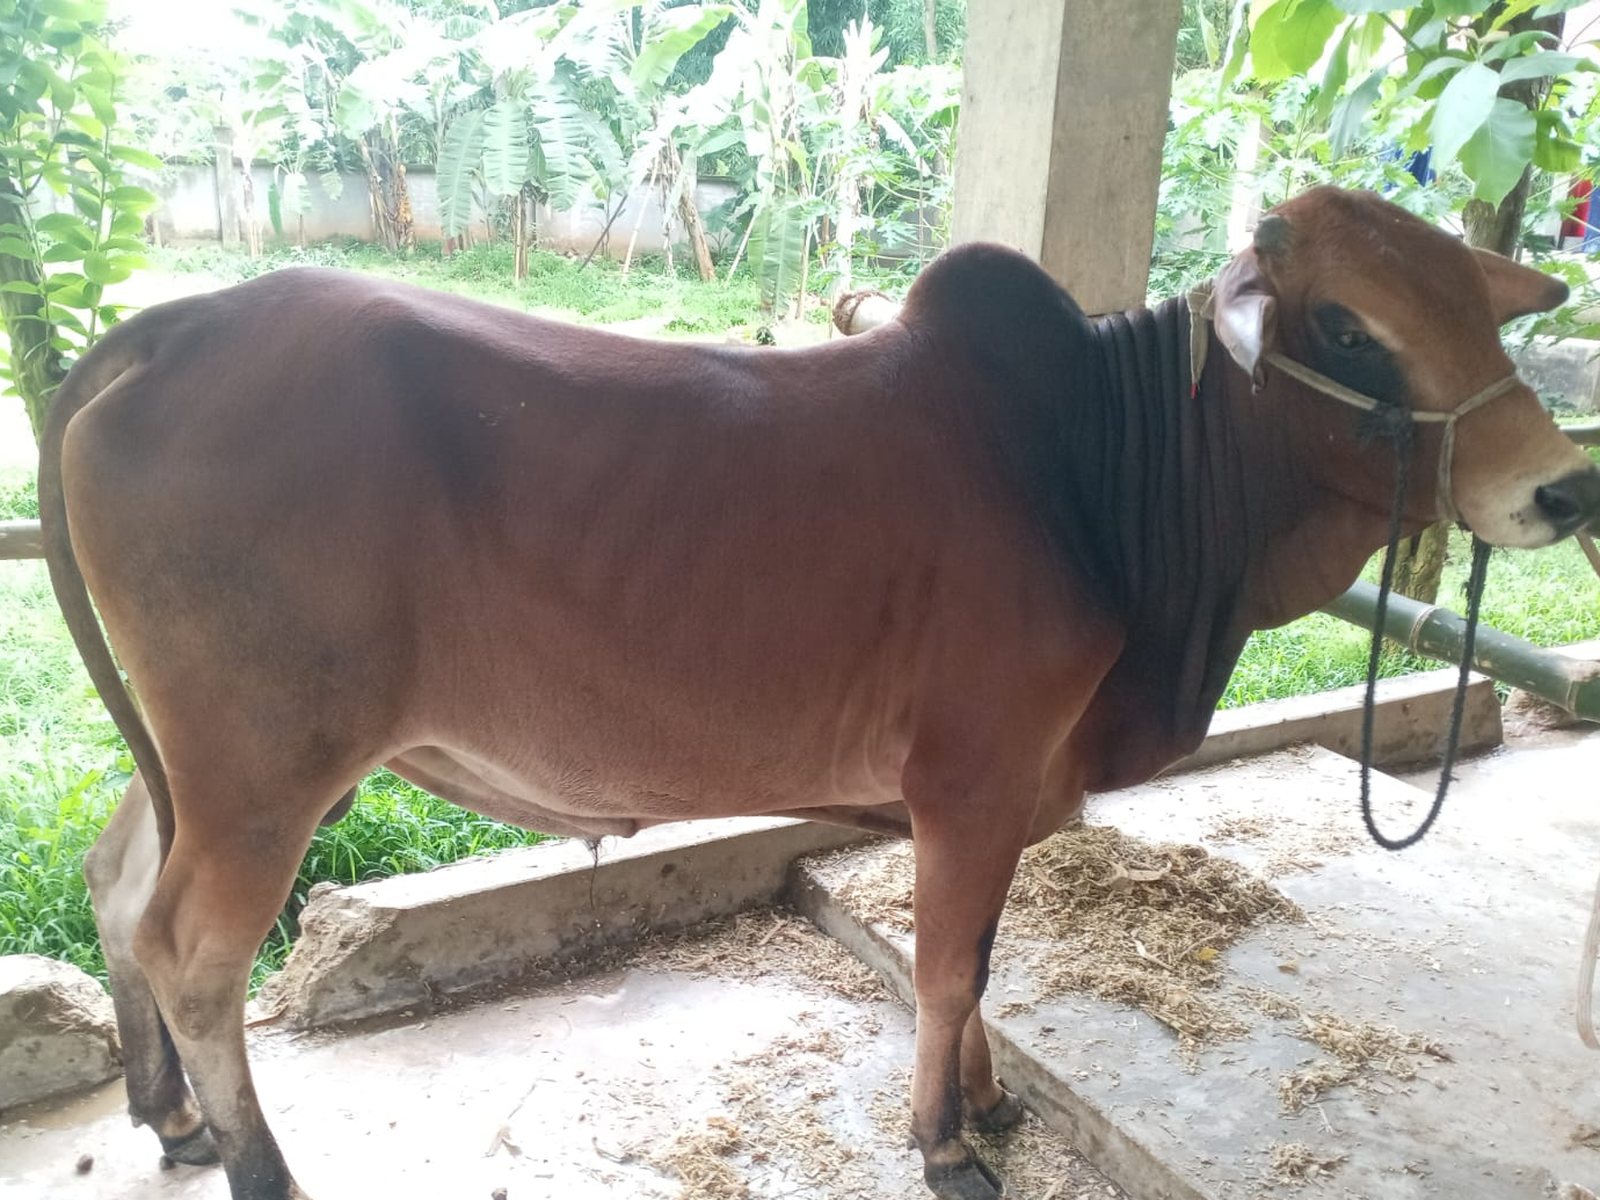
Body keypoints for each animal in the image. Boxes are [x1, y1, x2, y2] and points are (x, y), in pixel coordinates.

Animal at [39, 186, 1600, 1200]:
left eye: (1476, 310)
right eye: (1346, 328)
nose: (1559, 487)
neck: (1109, 477)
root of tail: (172, 329)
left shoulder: (1012, 789)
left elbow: (986, 966)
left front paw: (986, 1104)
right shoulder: (970, 777)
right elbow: (950, 965)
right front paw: (948, 1146)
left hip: (203, 758)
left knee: (122, 882)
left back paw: (171, 1121)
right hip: (265, 763)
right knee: (194, 951)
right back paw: (256, 1168)